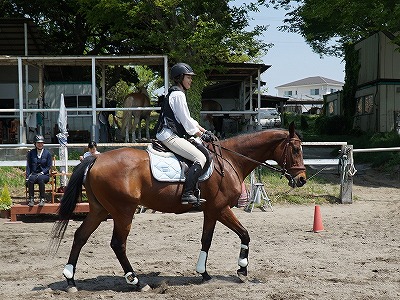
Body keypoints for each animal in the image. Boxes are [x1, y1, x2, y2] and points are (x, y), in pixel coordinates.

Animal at [49, 120, 306, 292]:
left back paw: (70, 280)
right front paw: (241, 270)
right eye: (295, 149)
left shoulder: (211, 211)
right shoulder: (221, 208)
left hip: (100, 210)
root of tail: (96, 159)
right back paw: (137, 282)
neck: (231, 160)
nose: (302, 179)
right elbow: (244, 233)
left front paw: (204, 273)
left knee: (80, 236)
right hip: (123, 211)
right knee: (117, 244)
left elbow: (207, 239)